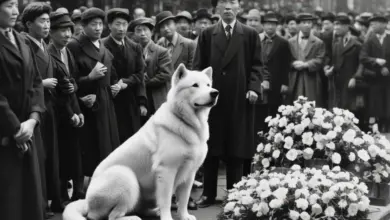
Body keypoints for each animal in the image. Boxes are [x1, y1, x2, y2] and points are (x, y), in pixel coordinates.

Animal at [62, 63, 218, 220]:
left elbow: (184, 198)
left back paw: (153, 211)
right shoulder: (166, 171)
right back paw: (133, 218)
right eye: (195, 85)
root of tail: (87, 202)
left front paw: (184, 216)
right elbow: (166, 200)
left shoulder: (190, 172)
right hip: (124, 176)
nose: (215, 93)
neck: (184, 121)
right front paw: (167, 217)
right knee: (112, 216)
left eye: (208, 85)